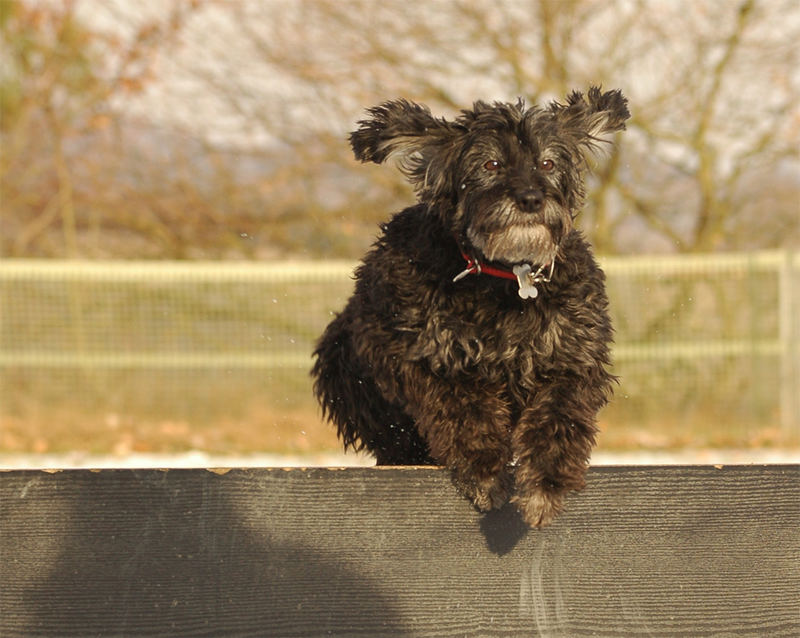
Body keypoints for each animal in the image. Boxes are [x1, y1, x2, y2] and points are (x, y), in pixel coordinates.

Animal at [310, 87, 628, 528]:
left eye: (547, 162)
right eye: (491, 164)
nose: (531, 198)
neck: (507, 280)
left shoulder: (571, 360)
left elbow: (558, 416)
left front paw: (544, 486)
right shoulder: (428, 358)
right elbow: (466, 411)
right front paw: (485, 472)